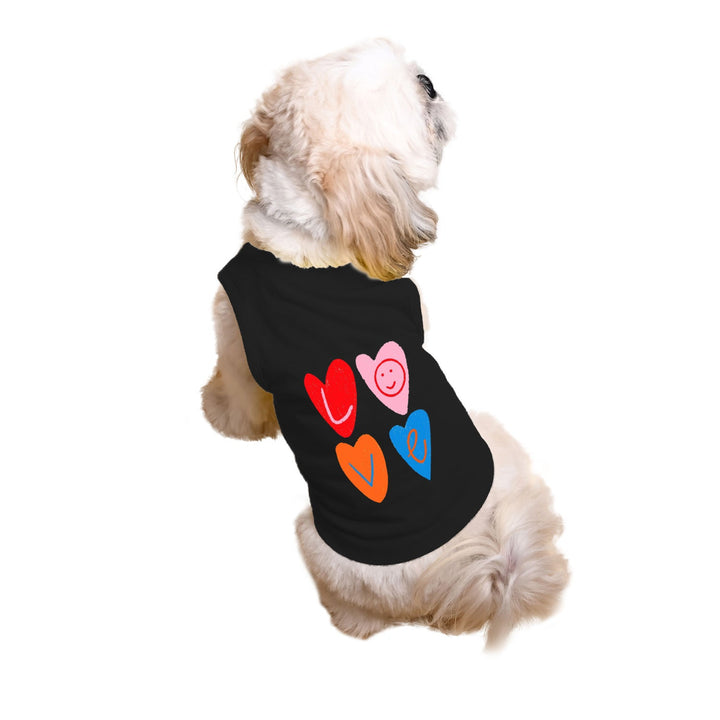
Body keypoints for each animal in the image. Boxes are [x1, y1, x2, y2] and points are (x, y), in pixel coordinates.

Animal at [202, 38, 568, 646]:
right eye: (420, 104)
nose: (429, 82)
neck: (311, 235)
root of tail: (486, 563)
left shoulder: (235, 345)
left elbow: (238, 399)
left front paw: (219, 413)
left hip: (317, 540)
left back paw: (347, 621)